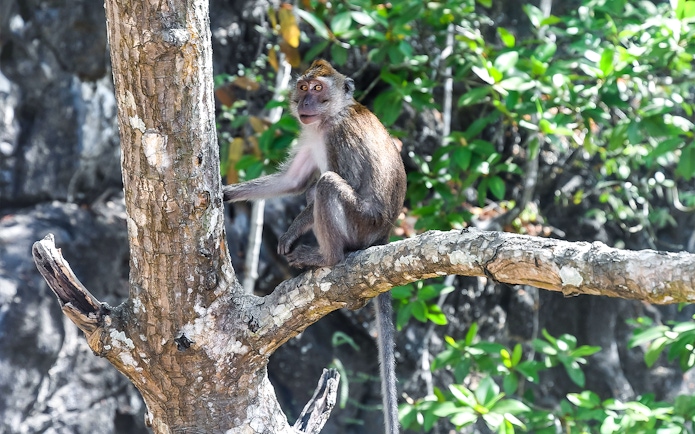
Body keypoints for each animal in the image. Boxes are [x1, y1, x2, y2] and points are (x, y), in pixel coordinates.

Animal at [223, 59, 406, 434]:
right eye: (304, 87)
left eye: (318, 88)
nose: (305, 102)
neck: (328, 117)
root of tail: (383, 235)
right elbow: (292, 181)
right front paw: (224, 193)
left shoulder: (339, 136)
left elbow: (335, 181)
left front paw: (291, 233)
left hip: (361, 224)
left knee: (326, 185)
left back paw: (325, 257)